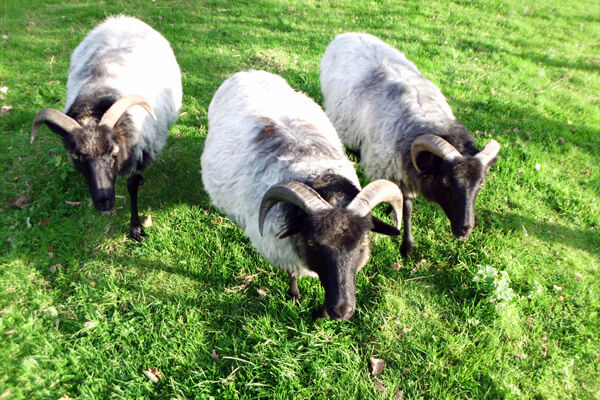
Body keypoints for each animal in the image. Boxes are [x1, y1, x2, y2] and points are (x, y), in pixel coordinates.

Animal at [31, 15, 182, 241]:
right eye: (76, 155)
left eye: (114, 150)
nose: (103, 201)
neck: (95, 98)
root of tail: (122, 19)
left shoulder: (141, 149)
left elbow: (131, 186)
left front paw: (135, 228)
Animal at [200, 69, 404, 322]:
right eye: (311, 242)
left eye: (364, 241)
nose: (342, 311)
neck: (316, 174)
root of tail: (248, 72)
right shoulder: (283, 249)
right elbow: (292, 274)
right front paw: (295, 296)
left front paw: (322, 313)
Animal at [322, 32, 500, 256]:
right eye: (446, 180)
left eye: (481, 182)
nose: (464, 230)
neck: (426, 122)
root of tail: (348, 33)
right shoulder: (391, 168)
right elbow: (407, 208)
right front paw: (406, 246)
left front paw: (391, 214)